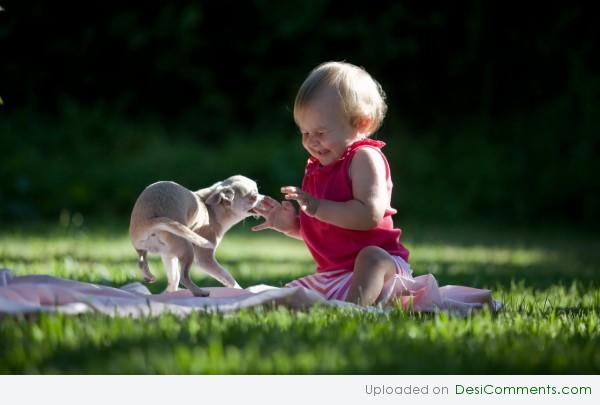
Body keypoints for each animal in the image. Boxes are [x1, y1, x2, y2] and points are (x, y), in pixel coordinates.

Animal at [129, 174, 262, 296]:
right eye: (254, 197)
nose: (265, 198)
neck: (211, 209)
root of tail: (150, 221)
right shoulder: (205, 259)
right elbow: (226, 276)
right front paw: (240, 290)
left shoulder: (169, 255)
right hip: (187, 248)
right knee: (183, 277)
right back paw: (199, 292)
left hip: (154, 250)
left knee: (146, 264)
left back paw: (157, 283)